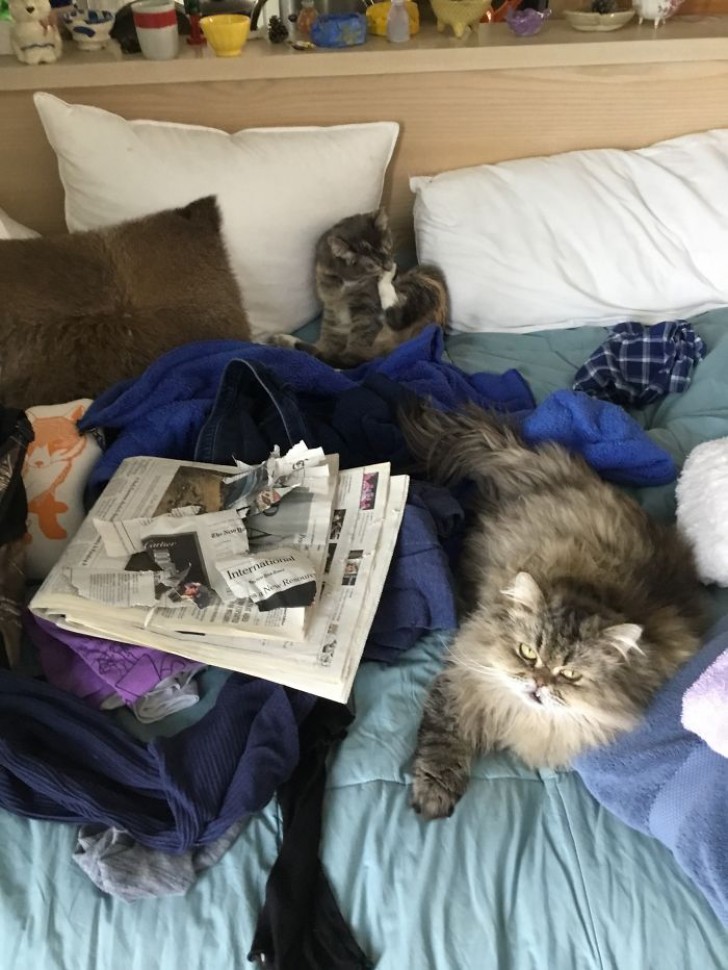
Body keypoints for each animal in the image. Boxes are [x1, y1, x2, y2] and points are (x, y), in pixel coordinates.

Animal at [268, 208, 446, 366]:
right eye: (373, 264)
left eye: (387, 248)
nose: (389, 266)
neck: (345, 283)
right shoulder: (330, 309)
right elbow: (326, 342)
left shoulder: (366, 311)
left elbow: (350, 353)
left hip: (424, 280)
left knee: (395, 317)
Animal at [400, 400, 708, 816]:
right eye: (527, 653)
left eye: (571, 674)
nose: (539, 684)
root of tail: (541, 465)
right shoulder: (460, 682)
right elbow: (442, 742)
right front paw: (433, 796)